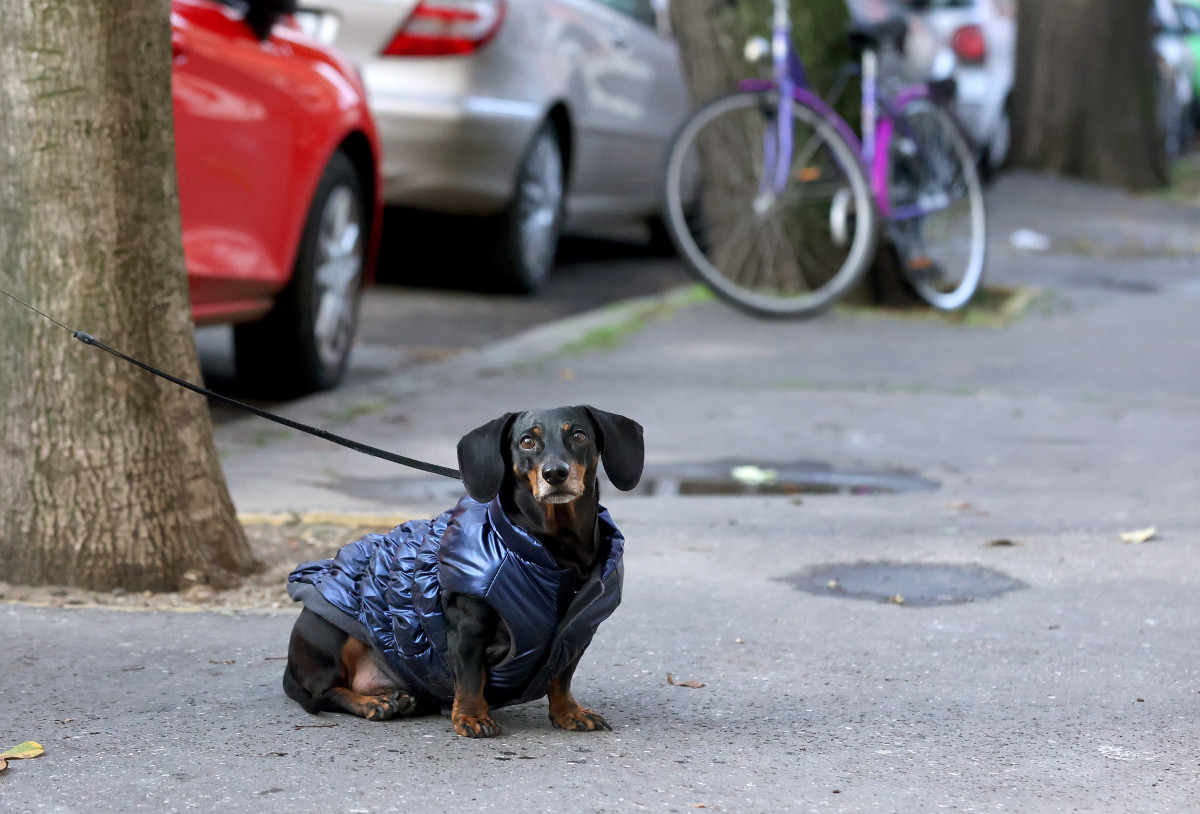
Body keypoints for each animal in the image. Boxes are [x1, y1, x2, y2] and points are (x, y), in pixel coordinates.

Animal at [280, 408, 643, 739]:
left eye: (579, 435)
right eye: (527, 441)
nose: (556, 473)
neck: (553, 549)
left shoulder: (576, 635)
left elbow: (561, 677)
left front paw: (569, 713)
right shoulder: (468, 628)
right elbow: (469, 678)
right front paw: (472, 717)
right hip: (327, 632)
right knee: (324, 693)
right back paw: (373, 703)